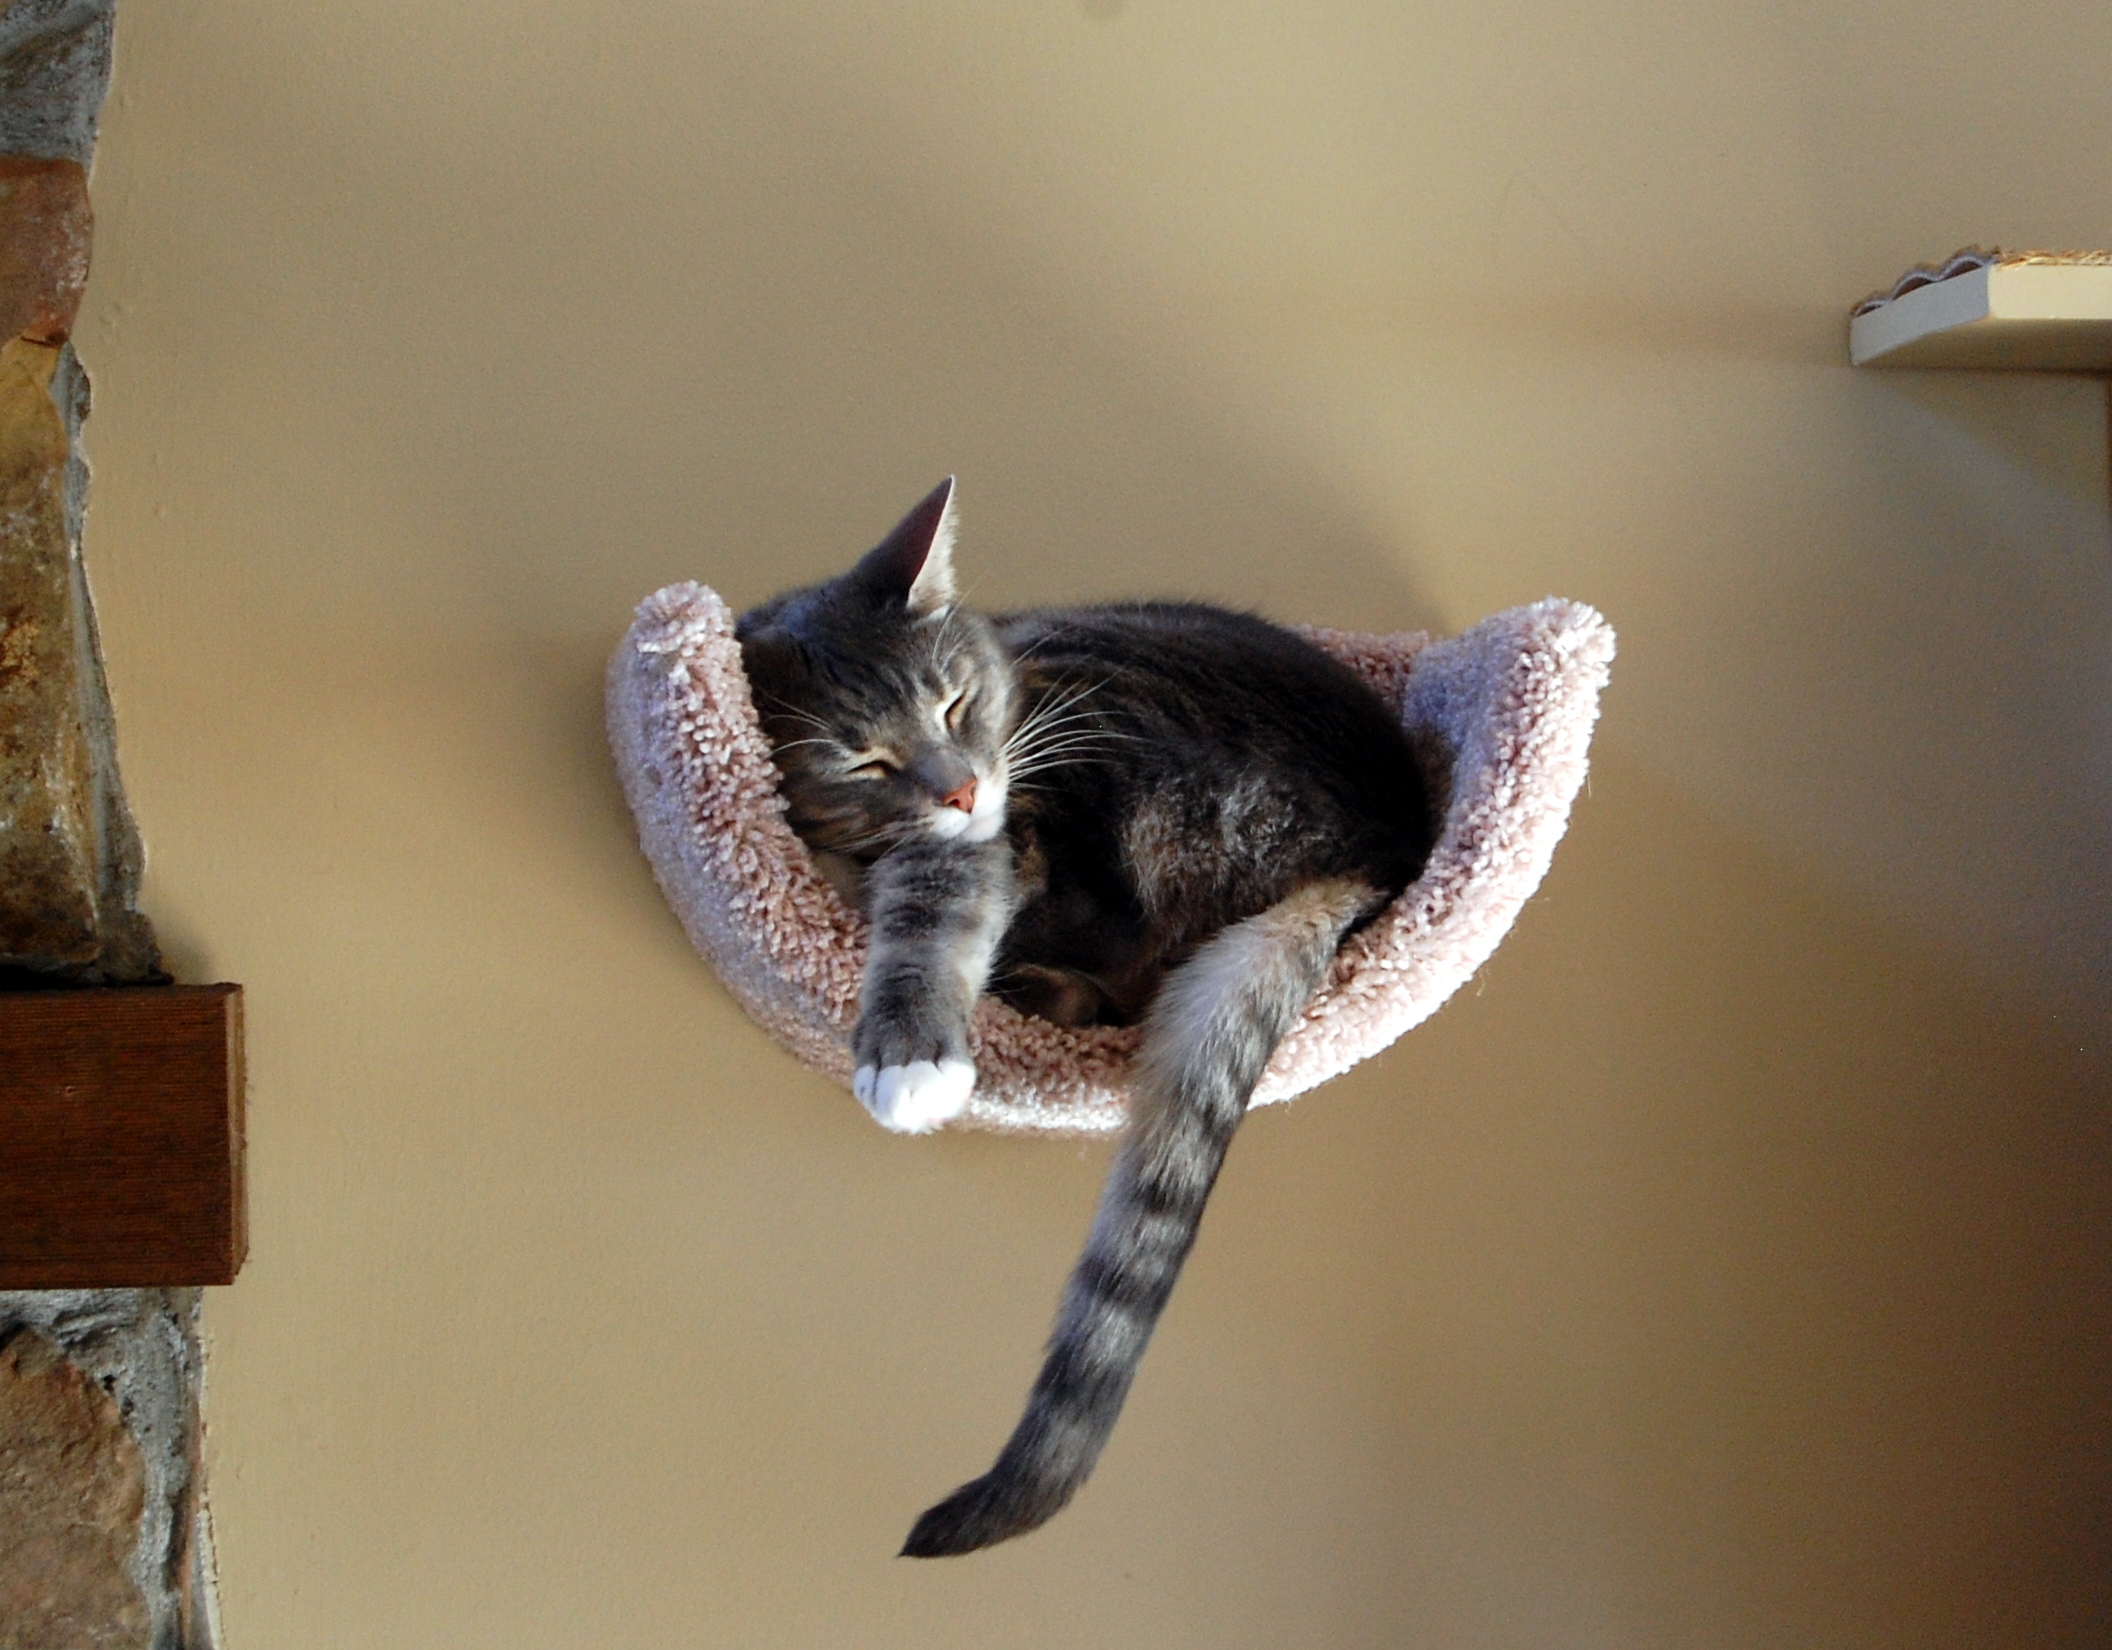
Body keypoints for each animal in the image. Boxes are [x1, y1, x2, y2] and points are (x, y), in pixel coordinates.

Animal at [730, 479, 1436, 1554]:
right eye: (863, 761)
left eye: (955, 703)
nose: (962, 787)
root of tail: (1374, 850)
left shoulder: (987, 836)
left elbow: (932, 914)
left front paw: (910, 1057)